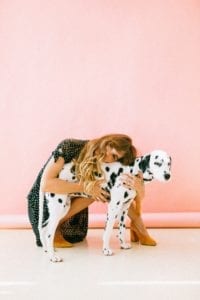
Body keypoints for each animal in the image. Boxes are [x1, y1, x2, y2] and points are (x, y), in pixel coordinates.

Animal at [38, 149, 172, 262]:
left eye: (168, 163)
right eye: (157, 163)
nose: (168, 176)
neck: (131, 170)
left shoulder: (124, 208)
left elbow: (122, 229)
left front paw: (123, 244)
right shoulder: (113, 207)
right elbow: (107, 231)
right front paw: (106, 250)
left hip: (62, 209)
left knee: (44, 228)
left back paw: (47, 250)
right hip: (58, 208)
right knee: (49, 233)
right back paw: (52, 256)